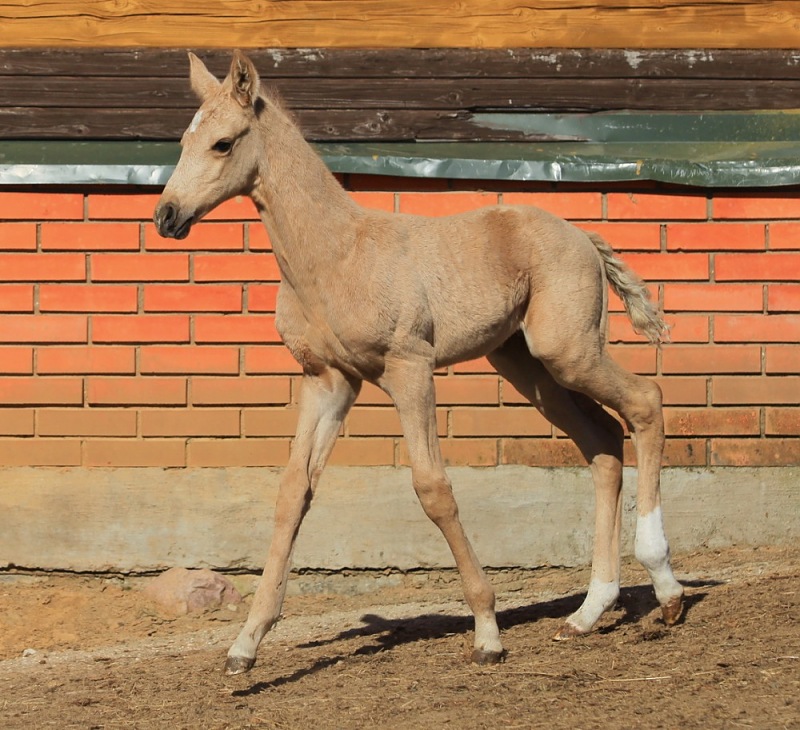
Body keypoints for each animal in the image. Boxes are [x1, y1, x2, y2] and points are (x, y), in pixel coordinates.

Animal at [154, 50, 684, 676]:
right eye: (184, 140)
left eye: (223, 143)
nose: (166, 216)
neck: (336, 255)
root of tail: (583, 237)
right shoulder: (328, 381)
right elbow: (292, 493)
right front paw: (246, 644)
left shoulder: (410, 369)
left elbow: (433, 488)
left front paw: (487, 632)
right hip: (528, 366)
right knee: (602, 441)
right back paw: (587, 612)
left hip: (569, 351)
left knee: (645, 403)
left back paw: (667, 590)